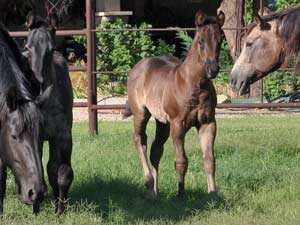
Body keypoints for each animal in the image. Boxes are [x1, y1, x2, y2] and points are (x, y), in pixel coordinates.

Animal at [24, 14, 74, 214]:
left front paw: (60, 210)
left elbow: (62, 172)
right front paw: (36, 209)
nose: (36, 84)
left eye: (50, 49)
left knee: (53, 167)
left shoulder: (63, 136)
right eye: (27, 47)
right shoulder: (34, 137)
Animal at [123, 10, 224, 197]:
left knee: (155, 150)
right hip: (141, 113)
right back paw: (148, 182)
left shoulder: (208, 123)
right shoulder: (178, 124)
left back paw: (154, 192)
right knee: (140, 140)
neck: (195, 84)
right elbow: (181, 160)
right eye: (201, 41)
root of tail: (138, 66)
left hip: (162, 122)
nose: (212, 69)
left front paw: (213, 193)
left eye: (220, 40)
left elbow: (209, 160)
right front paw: (181, 195)